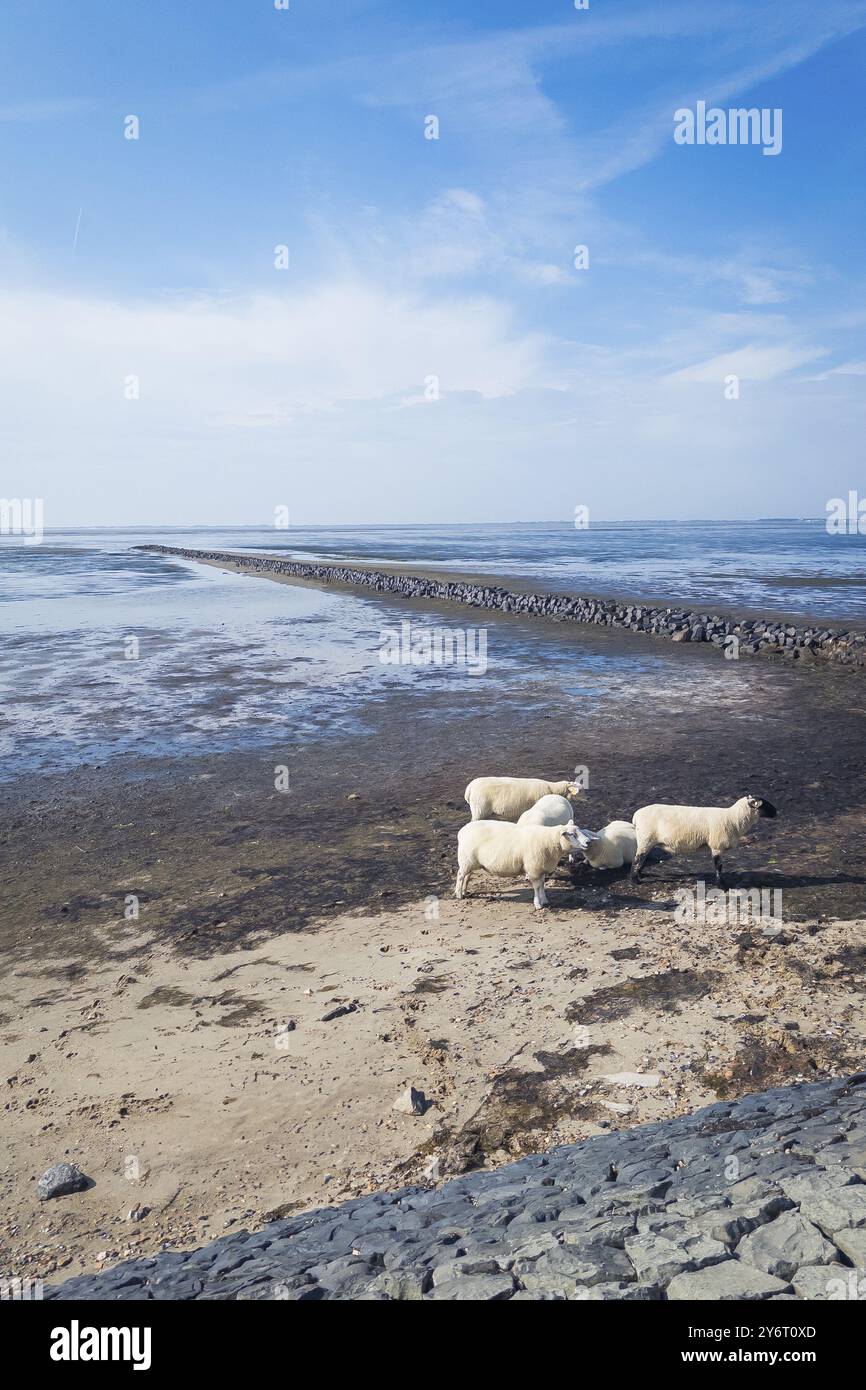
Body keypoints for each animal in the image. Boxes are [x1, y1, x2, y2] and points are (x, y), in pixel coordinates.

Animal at [631, 795, 777, 889]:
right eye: (764, 804)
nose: (776, 812)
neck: (733, 819)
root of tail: (636, 815)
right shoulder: (717, 845)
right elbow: (718, 866)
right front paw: (721, 885)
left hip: (647, 841)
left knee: (642, 858)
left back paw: (640, 875)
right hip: (645, 838)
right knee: (637, 859)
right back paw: (634, 880)